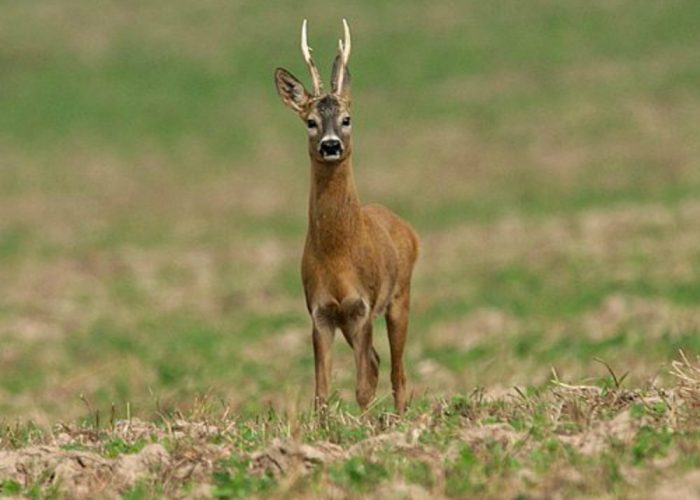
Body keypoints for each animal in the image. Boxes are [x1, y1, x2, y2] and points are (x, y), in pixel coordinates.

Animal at [274, 19, 418, 412]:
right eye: (310, 121)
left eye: (346, 118)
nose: (330, 144)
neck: (339, 254)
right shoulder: (320, 311)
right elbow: (321, 393)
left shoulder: (361, 307)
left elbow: (363, 387)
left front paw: (366, 426)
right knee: (379, 362)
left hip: (400, 296)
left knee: (398, 373)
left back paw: (400, 419)